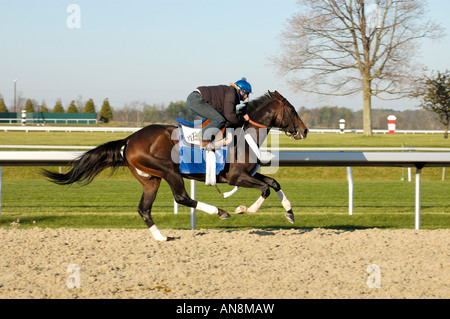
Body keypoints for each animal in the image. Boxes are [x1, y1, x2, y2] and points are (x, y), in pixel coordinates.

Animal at [42, 91, 308, 241]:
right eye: (293, 110)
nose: (305, 131)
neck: (244, 134)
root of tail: (129, 140)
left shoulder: (246, 175)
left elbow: (274, 182)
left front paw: (290, 213)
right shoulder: (235, 177)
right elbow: (265, 189)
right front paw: (245, 209)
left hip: (150, 179)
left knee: (144, 209)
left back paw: (160, 237)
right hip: (169, 170)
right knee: (181, 197)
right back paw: (220, 212)